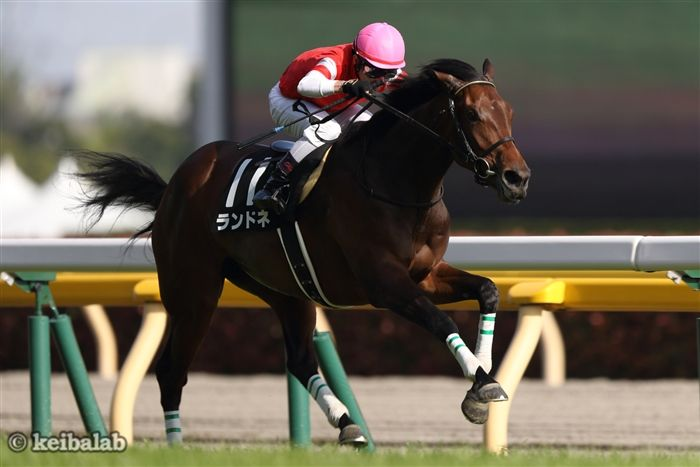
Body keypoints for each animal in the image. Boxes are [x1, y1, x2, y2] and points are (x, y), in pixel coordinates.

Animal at [77, 58, 531, 446]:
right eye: (472, 114)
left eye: (509, 111)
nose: (517, 177)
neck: (395, 184)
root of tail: (175, 184)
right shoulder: (384, 284)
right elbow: (440, 320)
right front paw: (484, 383)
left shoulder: (426, 274)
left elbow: (488, 290)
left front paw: (479, 383)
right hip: (193, 292)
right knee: (172, 371)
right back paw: (176, 447)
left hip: (284, 289)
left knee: (298, 360)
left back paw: (349, 425)